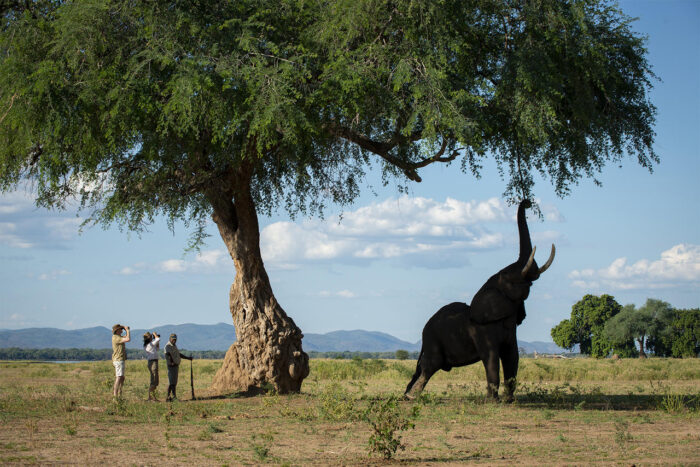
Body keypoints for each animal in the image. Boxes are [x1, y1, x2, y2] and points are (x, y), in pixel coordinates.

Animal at [404, 200, 552, 402]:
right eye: (509, 277)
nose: (528, 203)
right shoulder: (482, 330)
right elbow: (491, 358)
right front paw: (492, 402)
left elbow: (512, 356)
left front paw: (508, 401)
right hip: (433, 339)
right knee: (430, 365)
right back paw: (412, 397)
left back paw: (407, 395)